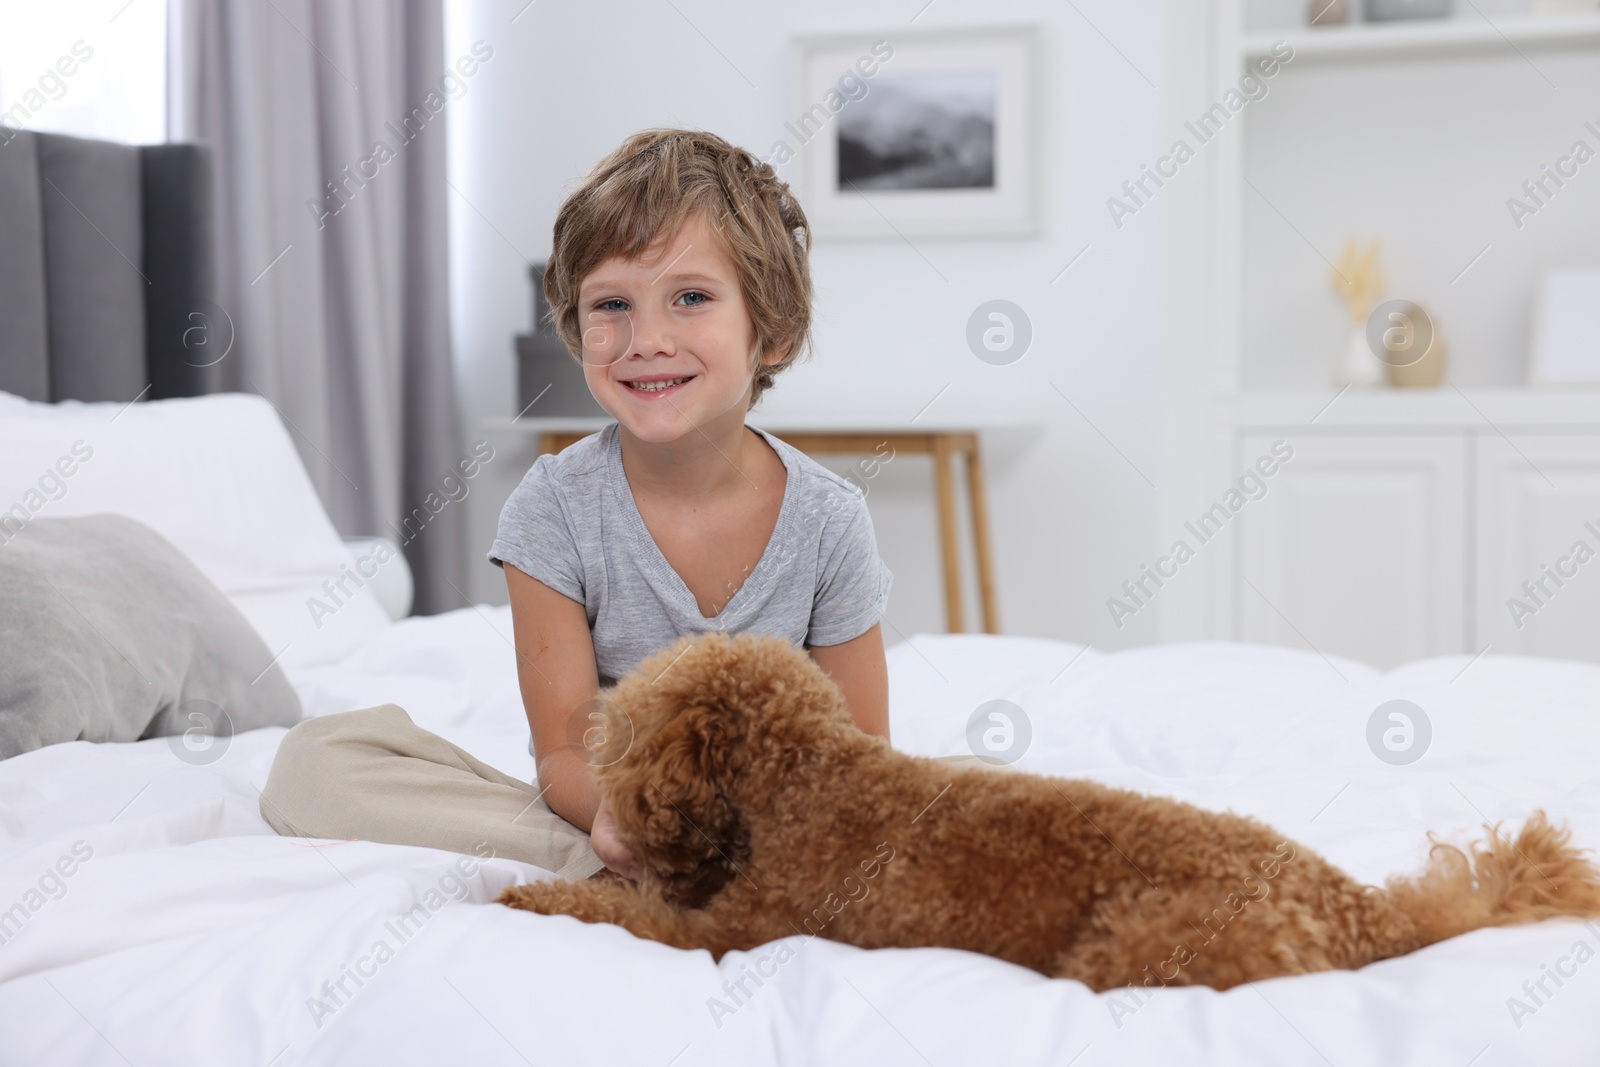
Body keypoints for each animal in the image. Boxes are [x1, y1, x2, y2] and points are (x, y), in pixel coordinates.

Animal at [499, 633, 1600, 991]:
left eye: (622, 734)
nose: (603, 783)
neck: (806, 778)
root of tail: (1360, 908)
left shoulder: (735, 931)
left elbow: (616, 911)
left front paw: (522, 896)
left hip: (1137, 949)